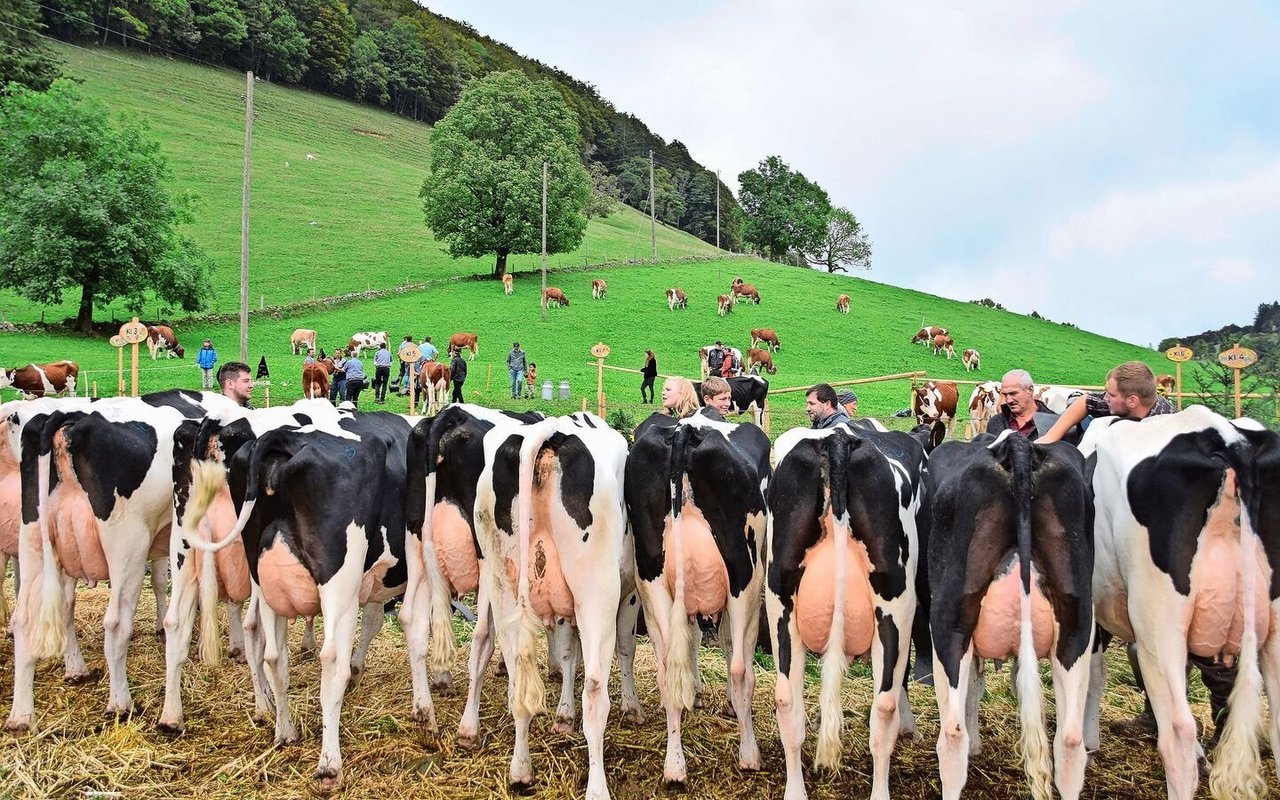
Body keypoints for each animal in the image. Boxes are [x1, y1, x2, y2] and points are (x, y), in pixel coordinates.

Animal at [185, 409, 412, 788]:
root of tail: (281, 437)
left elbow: (375, 621)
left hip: (261, 574)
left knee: (271, 652)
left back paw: (282, 727)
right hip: (339, 583)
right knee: (330, 660)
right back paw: (329, 762)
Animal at [622, 414, 762, 783]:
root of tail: (686, 430)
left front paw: (696, 694)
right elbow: (728, 647)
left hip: (651, 578)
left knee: (667, 671)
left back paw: (674, 766)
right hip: (745, 579)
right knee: (741, 669)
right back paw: (749, 754)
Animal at [762, 424, 926, 798]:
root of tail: (837, 440)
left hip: (779, 598)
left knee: (786, 700)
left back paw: (796, 790)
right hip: (895, 605)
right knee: (884, 707)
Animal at [926, 430, 1095, 798]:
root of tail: (1017, 445)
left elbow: (973, 688)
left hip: (949, 623)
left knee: (952, 734)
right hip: (1077, 624)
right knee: (1069, 741)